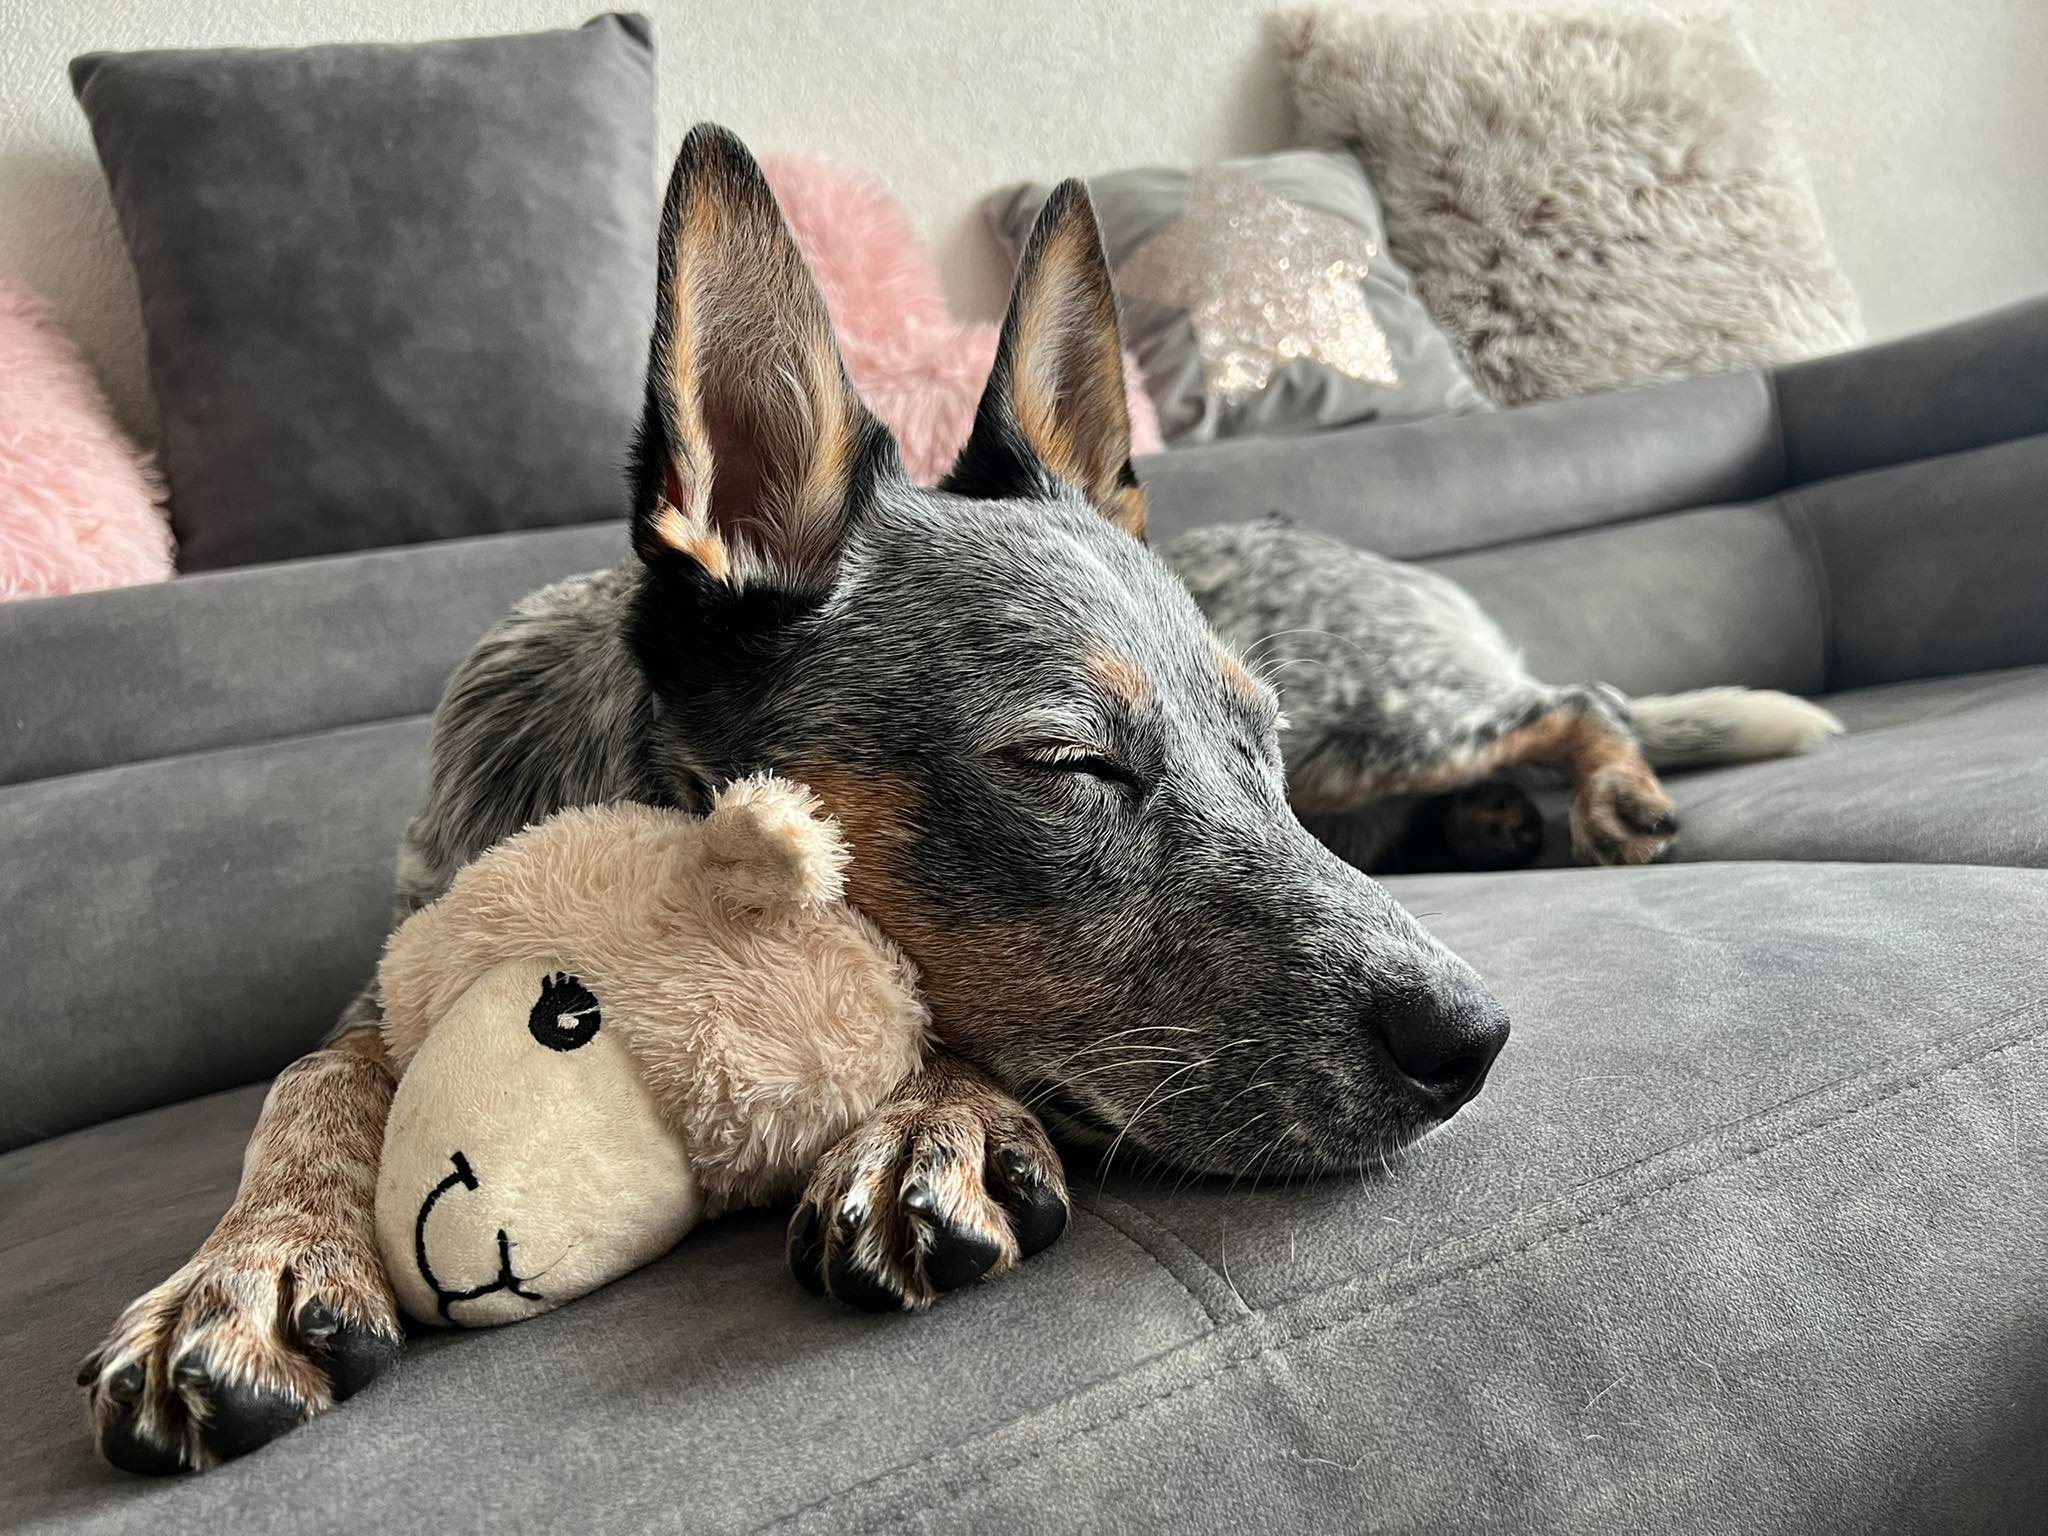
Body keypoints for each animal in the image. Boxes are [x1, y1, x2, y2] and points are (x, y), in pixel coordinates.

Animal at [79, 126, 1843, 1474]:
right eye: (1069, 766)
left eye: (1251, 749)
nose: (1476, 1042)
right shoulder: (393, 969)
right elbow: (309, 1080)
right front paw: (245, 1264)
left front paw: (931, 1115)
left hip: (1378, 719)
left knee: (1576, 698)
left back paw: (1604, 800)